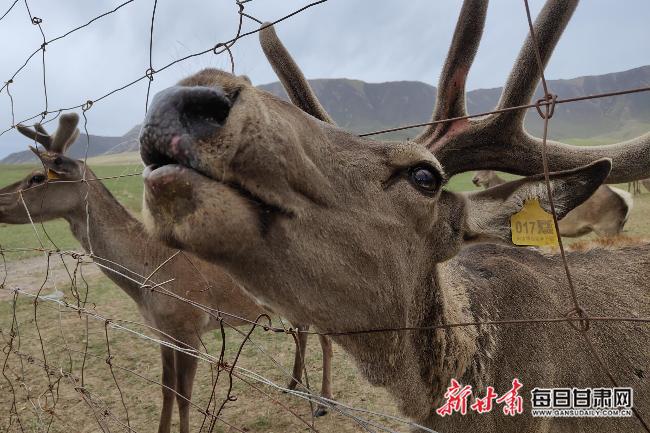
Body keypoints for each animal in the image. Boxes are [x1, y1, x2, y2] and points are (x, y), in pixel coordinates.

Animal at [0, 114, 334, 433]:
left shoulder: (188, 326)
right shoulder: (162, 332)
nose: (0, 201)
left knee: (324, 338)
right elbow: (166, 389)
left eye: (36, 177)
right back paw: (293, 385)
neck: (146, 281)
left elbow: (185, 396)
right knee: (302, 328)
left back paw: (323, 402)